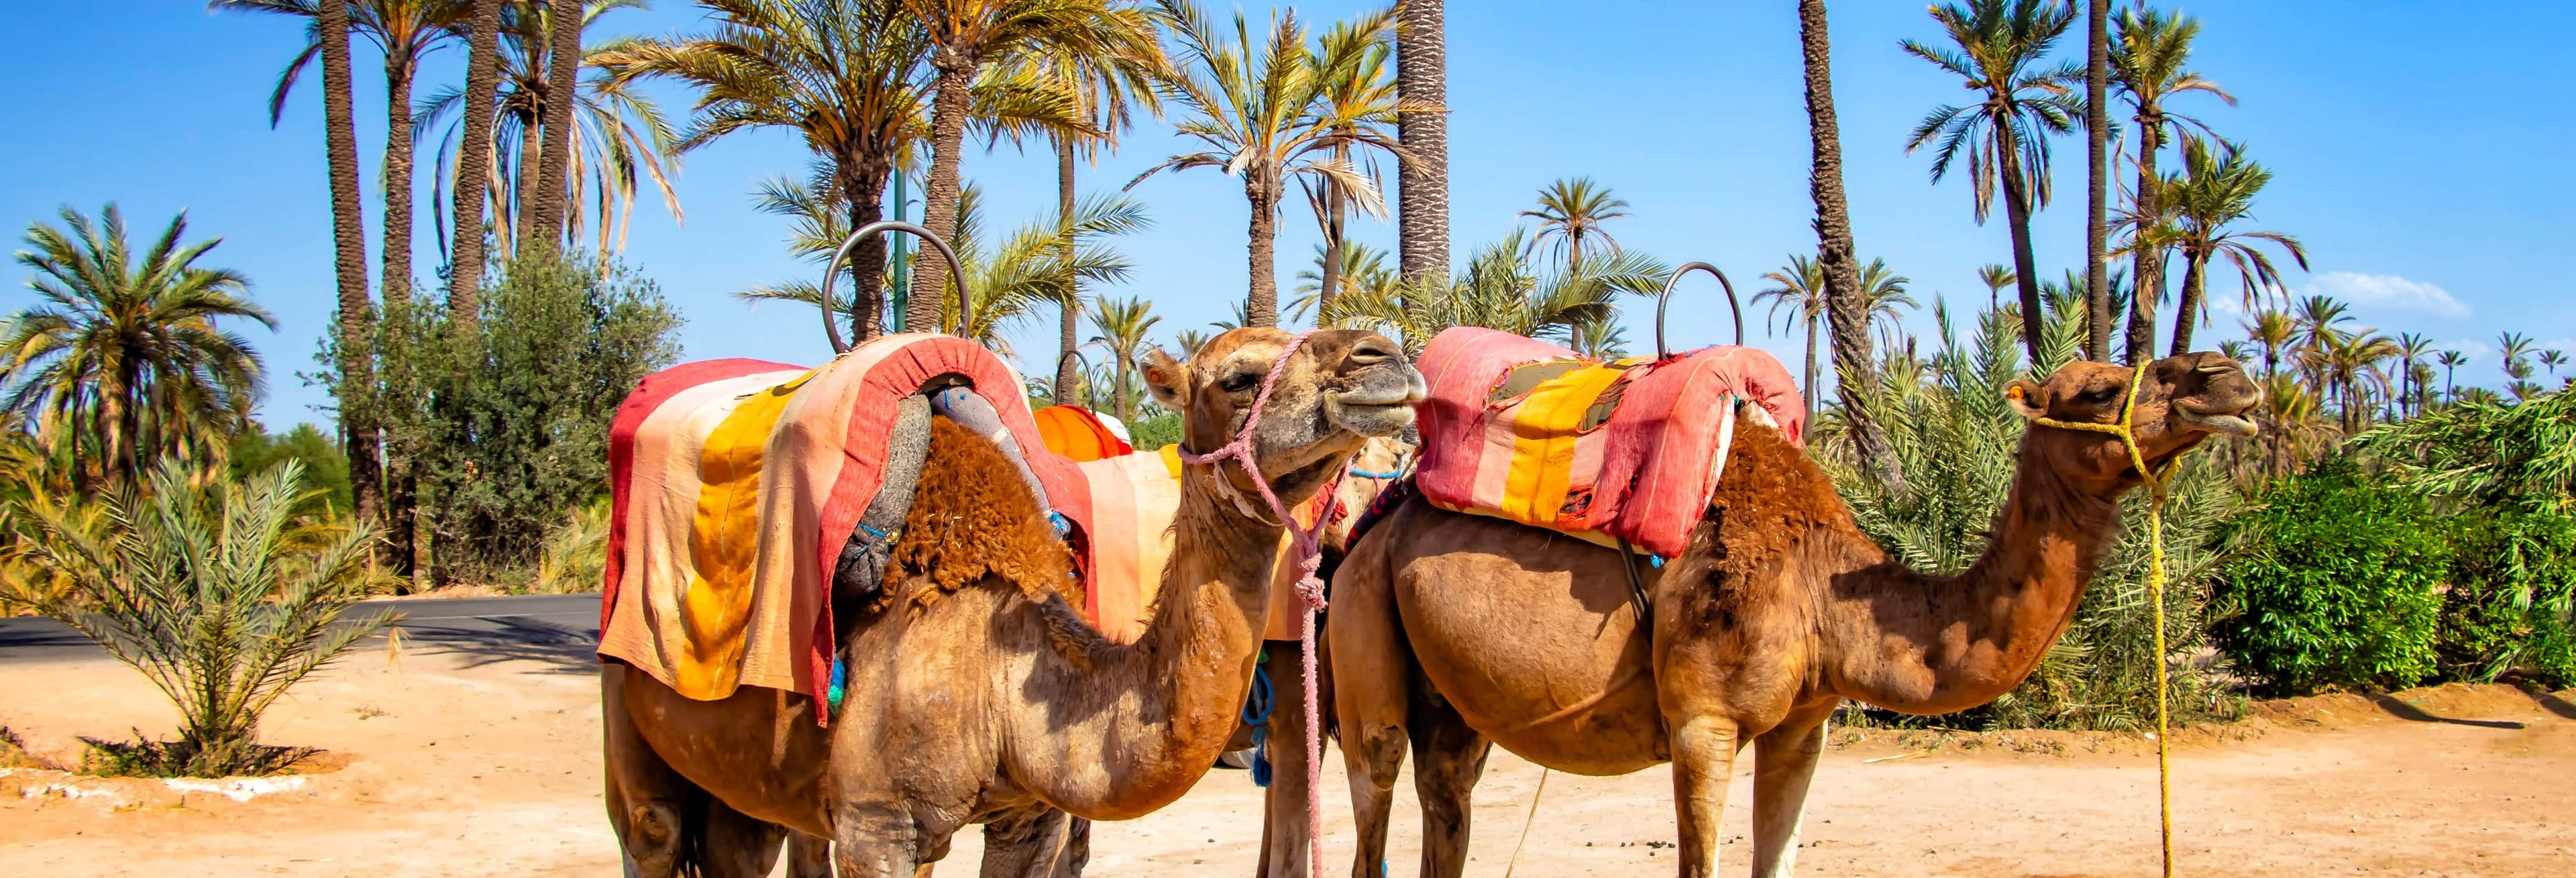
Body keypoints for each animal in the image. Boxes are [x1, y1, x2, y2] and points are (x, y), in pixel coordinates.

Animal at [601, 327, 1426, 877]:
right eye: (1240, 378)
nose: (1385, 357)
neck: (998, 677)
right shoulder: (877, 825)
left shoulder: (1029, 818)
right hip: (627, 692)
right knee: (652, 830)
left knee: (746, 843)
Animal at [1314, 352, 2259, 877]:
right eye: (2100, 390)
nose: (2230, 378)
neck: (1823, 590)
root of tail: (1370, 521)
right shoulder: (1703, 721)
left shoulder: (1807, 725)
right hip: (1363, 634)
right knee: (1374, 796)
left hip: (1451, 698)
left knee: (1448, 800)